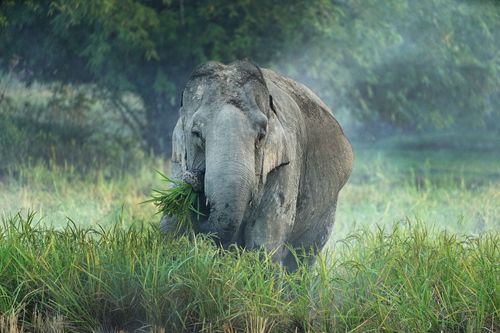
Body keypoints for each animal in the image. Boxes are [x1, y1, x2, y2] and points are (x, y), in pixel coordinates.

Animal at [160, 60, 352, 270]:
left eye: (261, 135)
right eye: (195, 133)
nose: (193, 178)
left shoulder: (286, 164)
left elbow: (264, 244)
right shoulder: (178, 162)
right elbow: (171, 227)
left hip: (328, 208)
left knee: (303, 257)